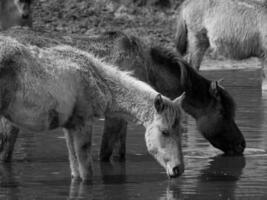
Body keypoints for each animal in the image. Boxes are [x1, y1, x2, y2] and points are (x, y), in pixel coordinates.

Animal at [0, 27, 247, 162]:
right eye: (223, 113)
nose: (241, 145)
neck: (149, 67)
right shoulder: (114, 116)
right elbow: (105, 154)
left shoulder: (126, 116)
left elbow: (119, 154)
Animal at [0, 36, 186, 181]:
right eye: (165, 131)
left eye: (180, 131)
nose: (178, 169)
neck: (96, 78)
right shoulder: (83, 124)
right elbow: (86, 172)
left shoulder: (69, 127)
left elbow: (75, 170)